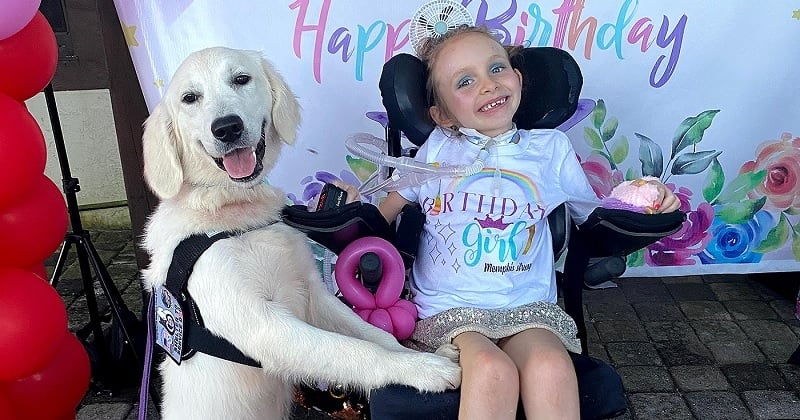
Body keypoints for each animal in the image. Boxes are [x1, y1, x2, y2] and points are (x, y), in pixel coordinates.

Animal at [141, 47, 460, 420]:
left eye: (241, 78)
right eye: (189, 98)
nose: (227, 128)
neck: (232, 214)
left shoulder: (312, 295)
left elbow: (375, 336)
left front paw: (425, 356)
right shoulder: (265, 327)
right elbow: (357, 351)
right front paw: (424, 371)